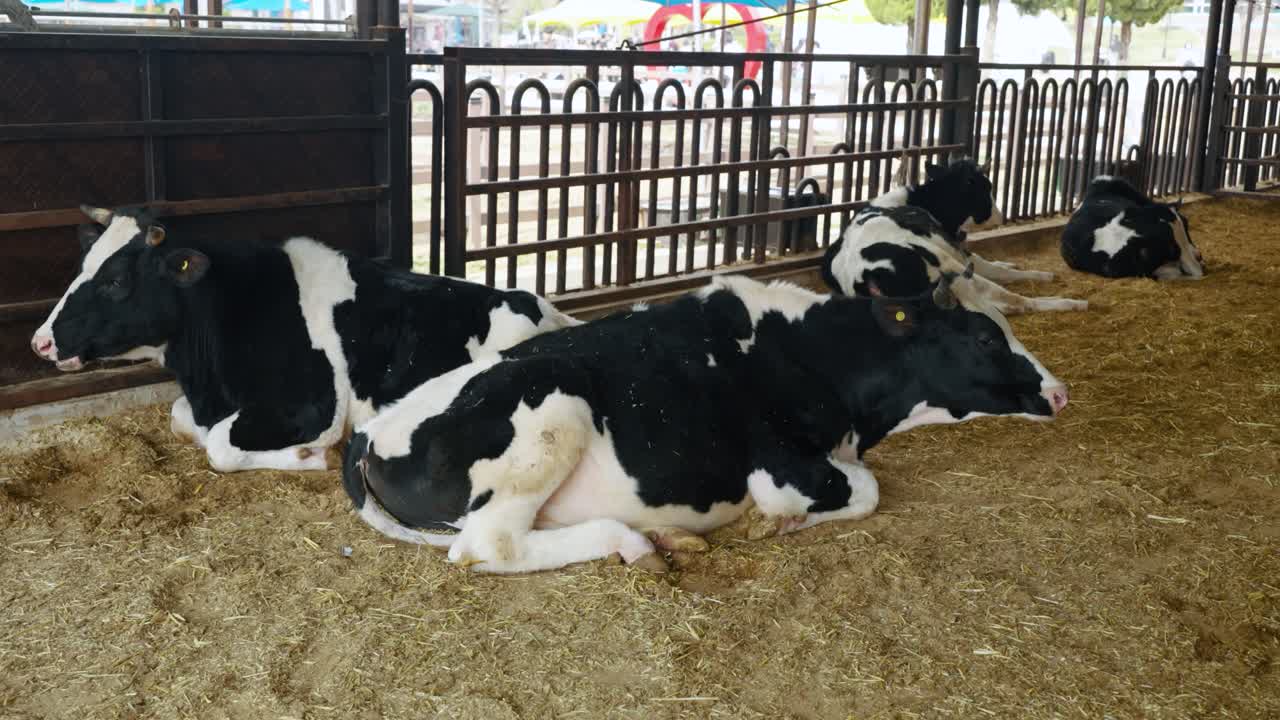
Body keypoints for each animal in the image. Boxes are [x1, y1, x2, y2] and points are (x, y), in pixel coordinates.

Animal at [29, 205, 576, 473]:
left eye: (116, 280)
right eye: (84, 263)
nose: (40, 342)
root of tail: (545, 306)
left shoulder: (312, 406)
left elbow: (220, 446)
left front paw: (307, 458)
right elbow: (182, 419)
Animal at [341, 270, 1069, 574]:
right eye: (984, 337)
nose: (1060, 393)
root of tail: (374, 429)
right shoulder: (779, 465)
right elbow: (864, 491)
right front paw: (774, 523)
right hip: (551, 405)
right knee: (490, 546)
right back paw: (637, 544)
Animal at [822, 158, 1088, 315]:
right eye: (986, 187)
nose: (1000, 215)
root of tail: (867, 274)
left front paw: (1008, 263)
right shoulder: (956, 252)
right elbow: (995, 268)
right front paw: (1041, 274)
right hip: (952, 270)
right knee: (1014, 302)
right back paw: (1069, 303)